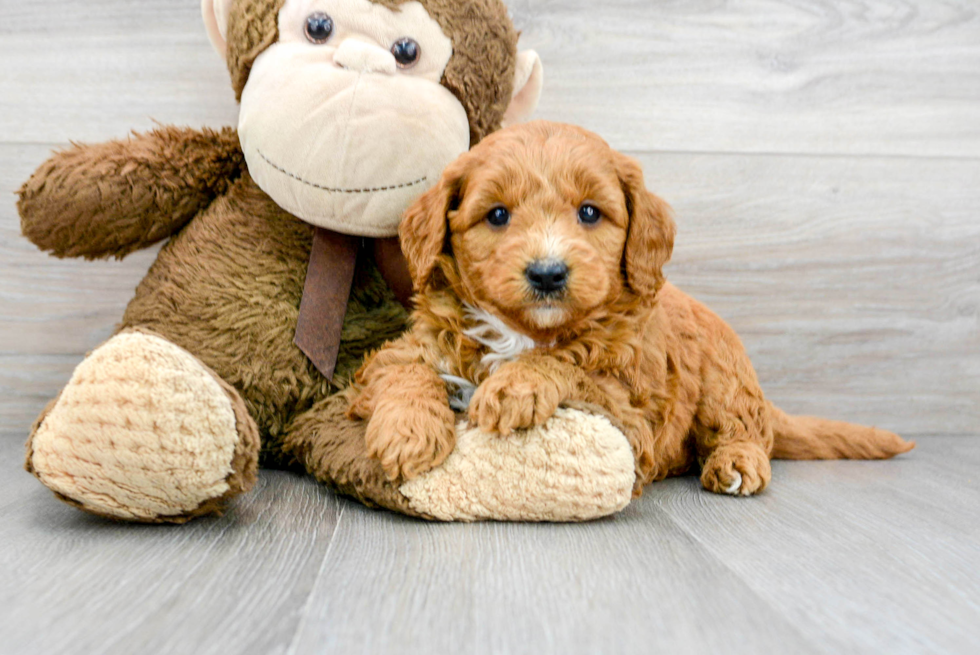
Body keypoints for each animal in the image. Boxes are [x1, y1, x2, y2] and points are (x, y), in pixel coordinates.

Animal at [348, 120, 916, 494]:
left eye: (589, 213)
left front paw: (517, 385)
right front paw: (406, 432)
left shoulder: (631, 403)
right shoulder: (409, 348)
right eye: (497, 215)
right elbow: (403, 370)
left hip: (725, 377)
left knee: (746, 427)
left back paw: (737, 462)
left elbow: (571, 362)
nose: (548, 273)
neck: (523, 332)